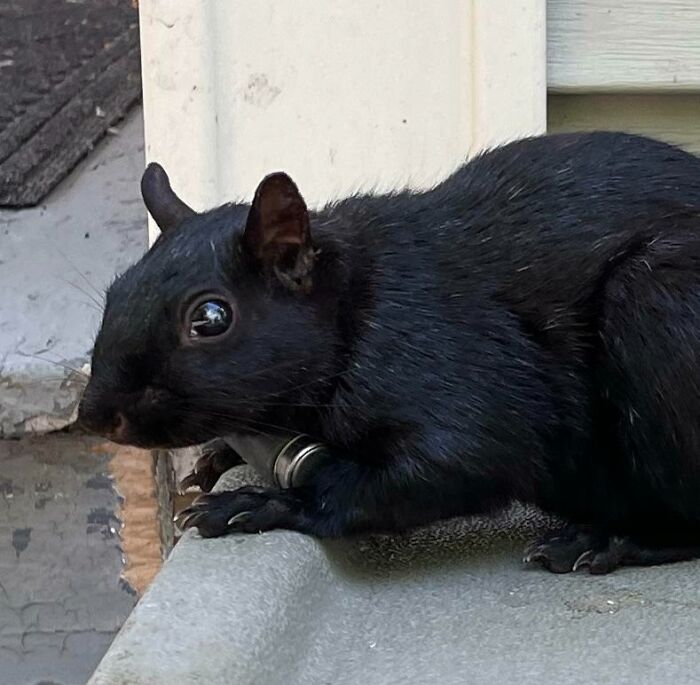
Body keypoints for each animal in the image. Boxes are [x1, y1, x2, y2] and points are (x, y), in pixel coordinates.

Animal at [79, 132, 700, 572]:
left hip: (656, 305)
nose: (95, 416)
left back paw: (613, 541)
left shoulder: (449, 367)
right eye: (116, 290)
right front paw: (220, 455)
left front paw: (263, 504)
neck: (353, 303)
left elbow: (458, 461)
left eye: (210, 318)